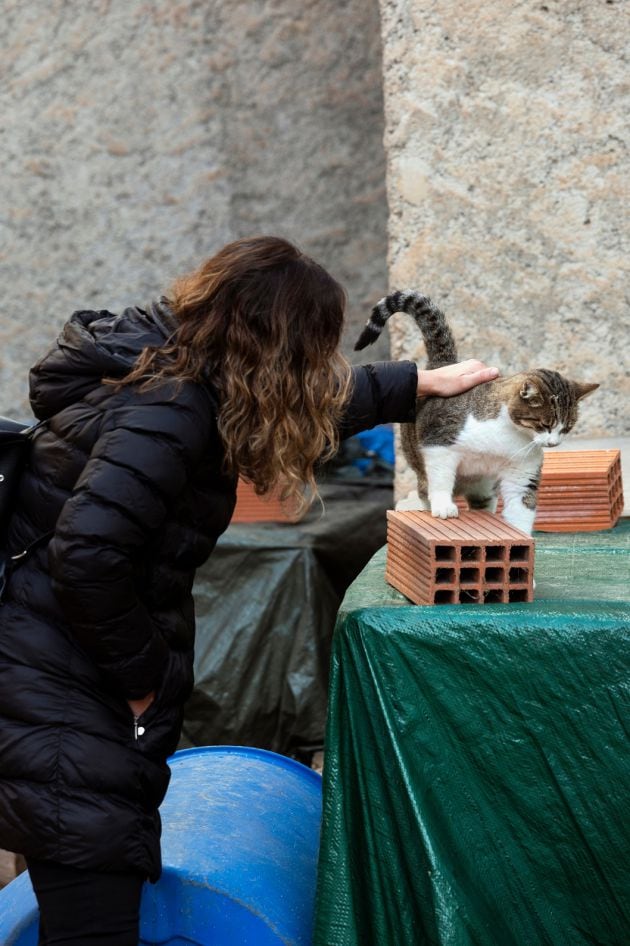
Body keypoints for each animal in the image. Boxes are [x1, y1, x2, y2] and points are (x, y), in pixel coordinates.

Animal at [358, 290, 600, 532]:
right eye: (545, 424)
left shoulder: (522, 469)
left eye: (566, 428)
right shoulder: (439, 442)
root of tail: (444, 365)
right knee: (425, 488)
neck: (507, 433)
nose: (553, 443)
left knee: (482, 500)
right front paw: (444, 506)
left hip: (483, 485)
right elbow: (441, 476)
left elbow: (520, 507)